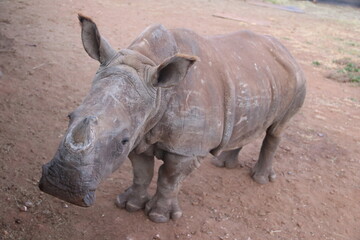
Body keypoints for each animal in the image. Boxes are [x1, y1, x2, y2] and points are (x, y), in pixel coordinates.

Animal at [39, 14, 306, 223]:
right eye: (70, 116)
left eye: (123, 140)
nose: (60, 188)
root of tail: (286, 50)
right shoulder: (141, 131)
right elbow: (142, 172)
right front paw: (129, 205)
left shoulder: (186, 148)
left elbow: (169, 179)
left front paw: (158, 216)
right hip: (257, 78)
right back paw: (224, 164)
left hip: (296, 78)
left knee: (276, 129)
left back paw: (260, 179)